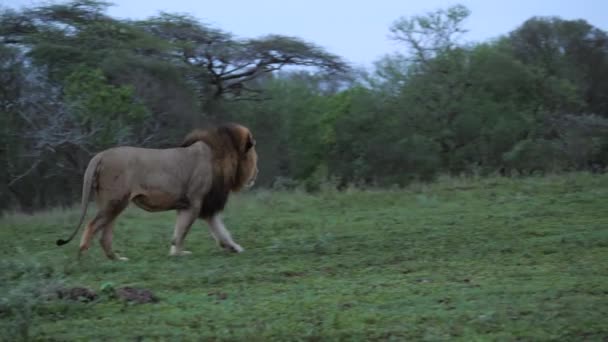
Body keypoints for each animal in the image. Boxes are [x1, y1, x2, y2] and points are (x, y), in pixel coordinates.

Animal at [54, 123, 258, 260]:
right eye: (254, 158)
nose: (257, 172)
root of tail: (100, 155)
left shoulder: (204, 205)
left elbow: (219, 231)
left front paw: (234, 248)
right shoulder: (195, 202)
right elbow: (181, 233)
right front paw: (179, 254)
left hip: (113, 204)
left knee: (104, 236)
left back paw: (117, 259)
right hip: (115, 201)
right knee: (91, 225)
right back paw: (82, 257)